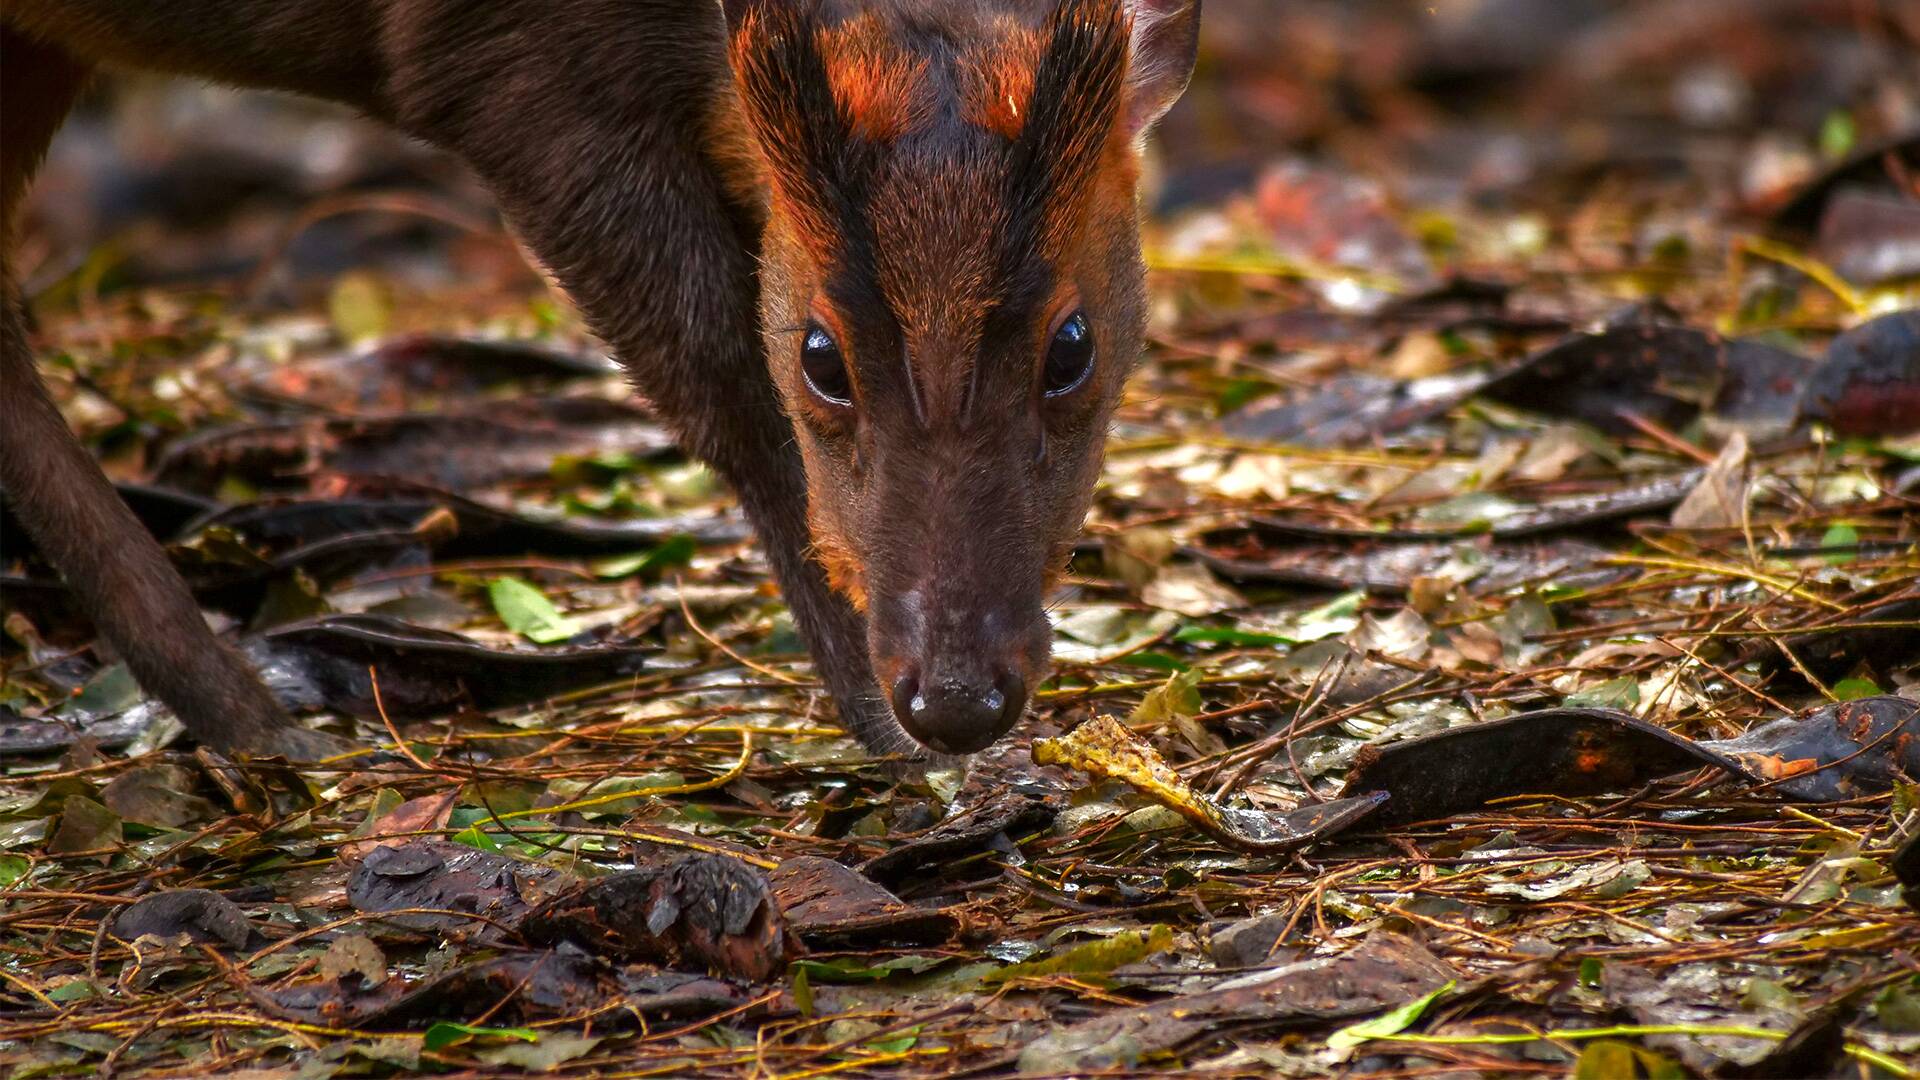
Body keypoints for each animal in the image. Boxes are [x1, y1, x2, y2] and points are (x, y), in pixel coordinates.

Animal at [0, 0, 1198, 757]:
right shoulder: (497, 74)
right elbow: (724, 384)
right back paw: (259, 723)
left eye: (1073, 346)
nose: (954, 702)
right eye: (821, 358)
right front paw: (881, 732)